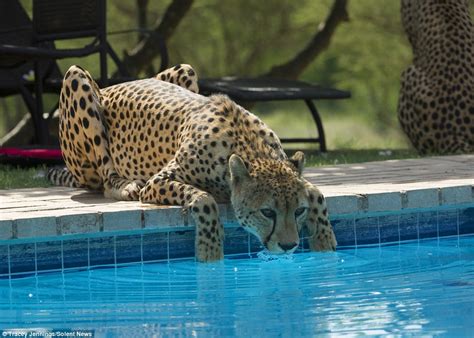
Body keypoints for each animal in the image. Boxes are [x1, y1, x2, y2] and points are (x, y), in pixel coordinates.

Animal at [49, 64, 336, 262]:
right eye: (267, 212)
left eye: (298, 211)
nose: (289, 246)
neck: (249, 146)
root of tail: (109, 87)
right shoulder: (156, 183)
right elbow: (204, 199)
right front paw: (210, 248)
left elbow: (317, 193)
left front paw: (325, 241)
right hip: (76, 78)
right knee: (107, 179)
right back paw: (125, 185)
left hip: (187, 70)